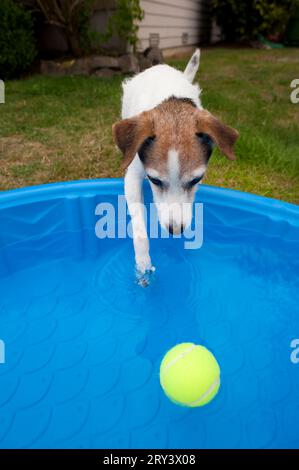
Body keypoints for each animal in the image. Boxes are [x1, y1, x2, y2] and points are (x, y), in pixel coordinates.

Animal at [112, 50, 239, 280]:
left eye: (197, 179)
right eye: (154, 180)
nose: (176, 230)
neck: (172, 109)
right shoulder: (133, 176)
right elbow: (139, 226)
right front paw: (143, 262)